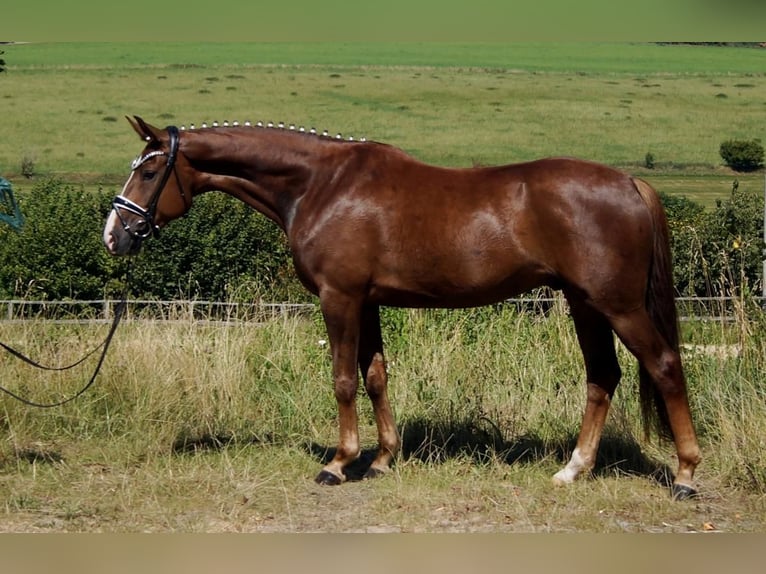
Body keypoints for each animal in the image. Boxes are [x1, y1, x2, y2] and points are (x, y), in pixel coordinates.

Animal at [103, 116, 701, 500]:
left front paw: (338, 464)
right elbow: (375, 376)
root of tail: (630, 181)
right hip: (585, 305)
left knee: (665, 366)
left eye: (150, 172)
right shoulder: (366, 302)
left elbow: (344, 379)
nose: (114, 235)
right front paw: (384, 459)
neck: (322, 185)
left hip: (618, 306)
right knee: (603, 376)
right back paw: (573, 470)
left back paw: (687, 475)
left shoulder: (340, 297)